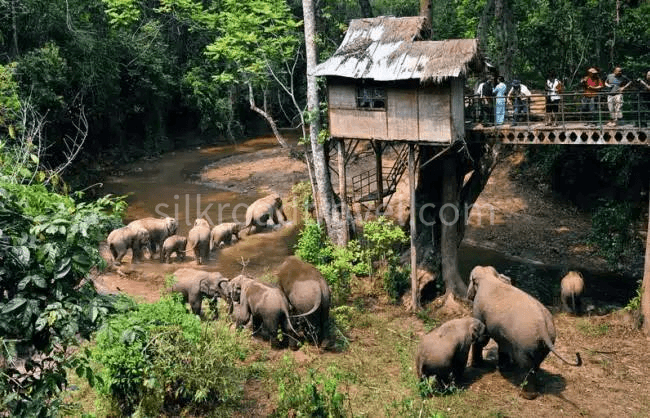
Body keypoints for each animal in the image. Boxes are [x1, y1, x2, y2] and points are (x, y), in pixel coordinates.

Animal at [467, 265, 582, 399]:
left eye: (470, 280)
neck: (489, 277)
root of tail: (542, 325)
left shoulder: (478, 309)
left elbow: (482, 338)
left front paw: (477, 365)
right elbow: (503, 344)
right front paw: (503, 368)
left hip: (525, 343)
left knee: (526, 365)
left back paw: (526, 395)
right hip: (546, 341)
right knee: (535, 364)